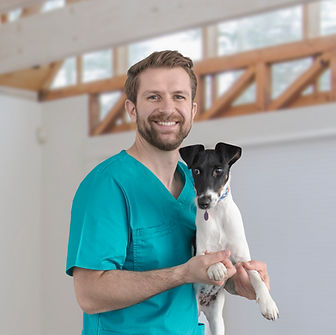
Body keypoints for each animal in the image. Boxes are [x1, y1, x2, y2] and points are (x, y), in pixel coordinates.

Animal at [180, 142, 280, 335]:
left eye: (218, 170)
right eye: (196, 171)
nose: (203, 202)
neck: (217, 215)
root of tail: (203, 306)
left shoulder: (243, 260)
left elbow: (257, 278)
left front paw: (268, 304)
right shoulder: (198, 251)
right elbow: (207, 255)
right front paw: (217, 267)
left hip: (217, 321)